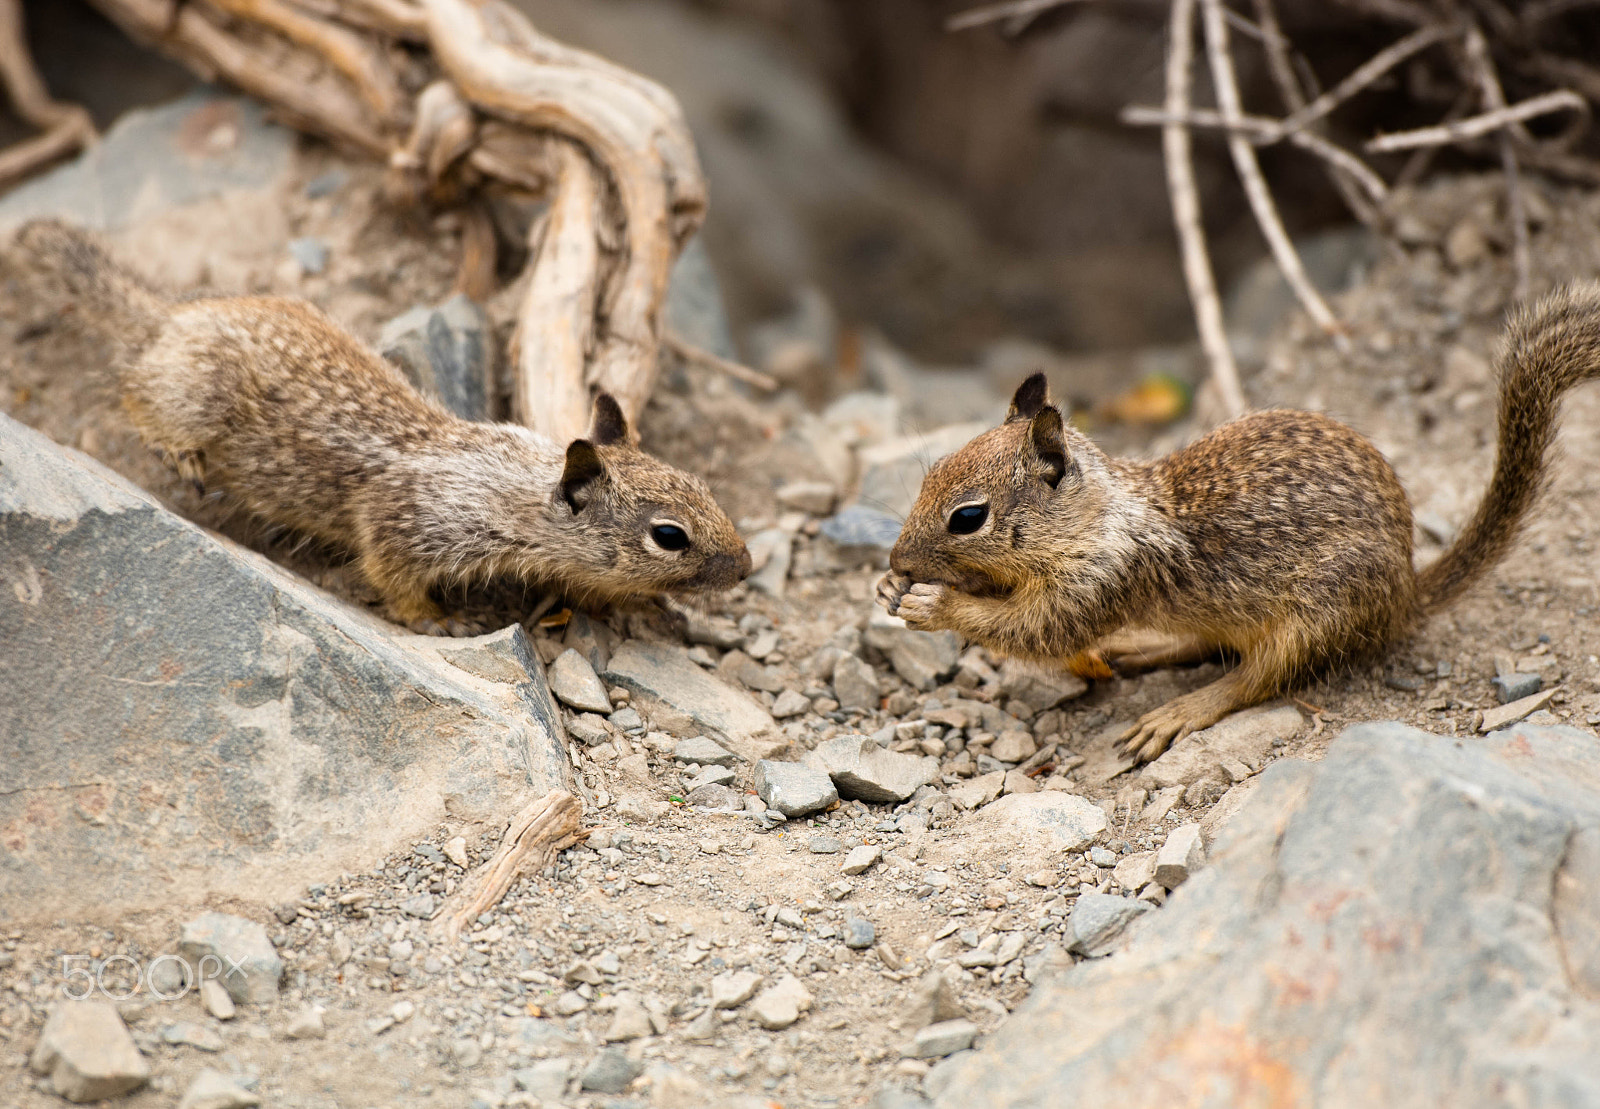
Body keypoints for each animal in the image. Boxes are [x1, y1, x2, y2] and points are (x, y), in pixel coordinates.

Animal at [13, 219, 752, 630]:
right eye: (669, 536)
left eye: (704, 486)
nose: (745, 567)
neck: (516, 487)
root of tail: (166, 319)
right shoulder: (407, 525)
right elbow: (390, 574)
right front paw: (441, 621)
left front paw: (647, 607)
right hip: (188, 393)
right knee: (136, 395)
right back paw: (179, 452)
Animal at [878, 283, 1600, 762]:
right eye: (931, 469)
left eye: (968, 517)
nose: (895, 560)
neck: (1099, 513)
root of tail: (1405, 595)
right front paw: (890, 589)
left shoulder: (1101, 580)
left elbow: (1035, 630)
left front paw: (932, 605)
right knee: (1207, 645)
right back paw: (1141, 650)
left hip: (1318, 615)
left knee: (1255, 679)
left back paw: (1180, 708)